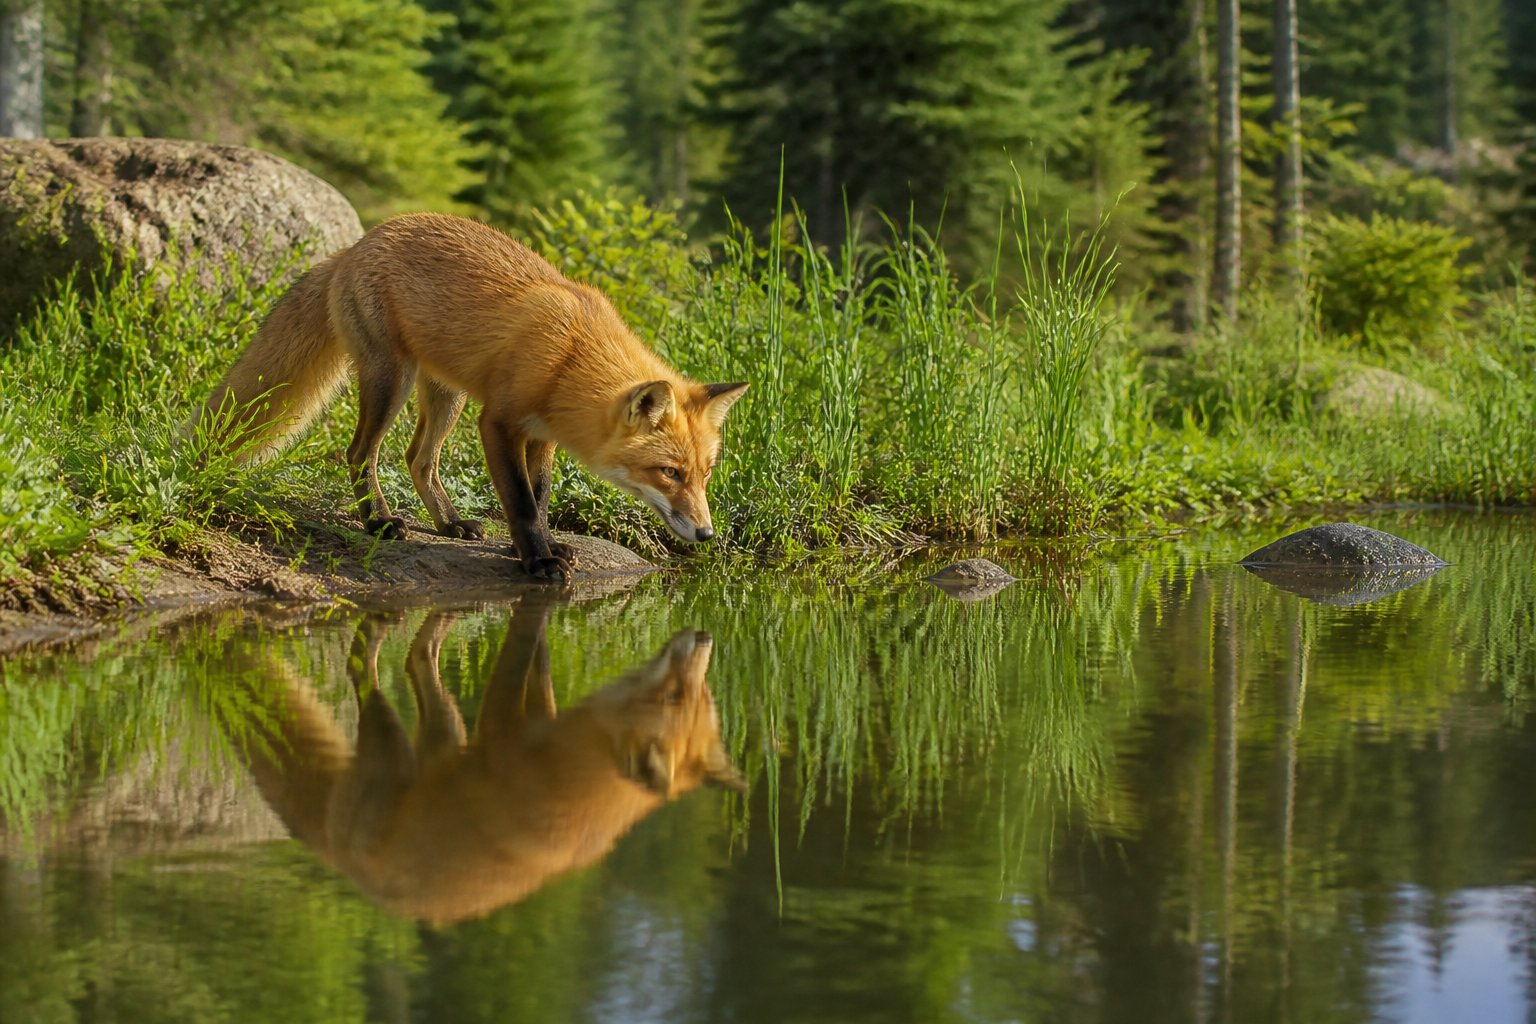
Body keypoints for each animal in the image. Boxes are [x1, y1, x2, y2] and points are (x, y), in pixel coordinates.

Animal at [198, 212, 748, 580]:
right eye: (669, 473)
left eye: (705, 474)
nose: (707, 535)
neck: (570, 355)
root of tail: (355, 244)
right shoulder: (498, 423)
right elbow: (521, 501)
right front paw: (538, 560)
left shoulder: (542, 436)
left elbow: (539, 496)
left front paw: (536, 547)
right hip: (391, 381)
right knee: (360, 453)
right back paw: (377, 522)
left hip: (447, 396)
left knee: (418, 459)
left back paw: (448, 523)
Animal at [224, 600, 746, 926]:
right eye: (675, 694)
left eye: (704, 695)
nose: (704, 640)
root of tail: (344, 868)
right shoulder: (501, 729)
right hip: (392, 748)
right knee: (369, 673)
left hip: (440, 738)